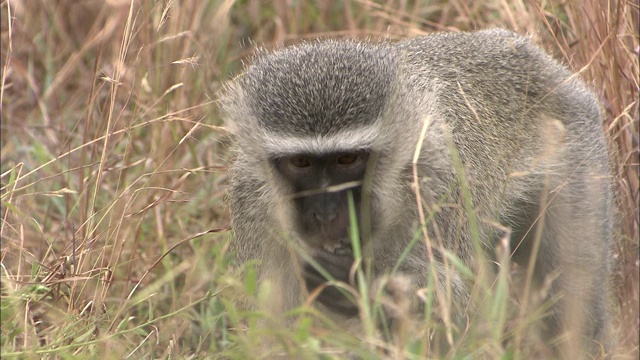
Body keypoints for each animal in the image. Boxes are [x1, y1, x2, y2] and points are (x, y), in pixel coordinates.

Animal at [220, 28, 616, 358]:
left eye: (347, 159)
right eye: (300, 163)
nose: (325, 212)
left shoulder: (435, 180)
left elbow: (446, 300)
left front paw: (354, 282)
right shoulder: (251, 203)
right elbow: (275, 326)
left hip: (577, 152)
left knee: (575, 288)